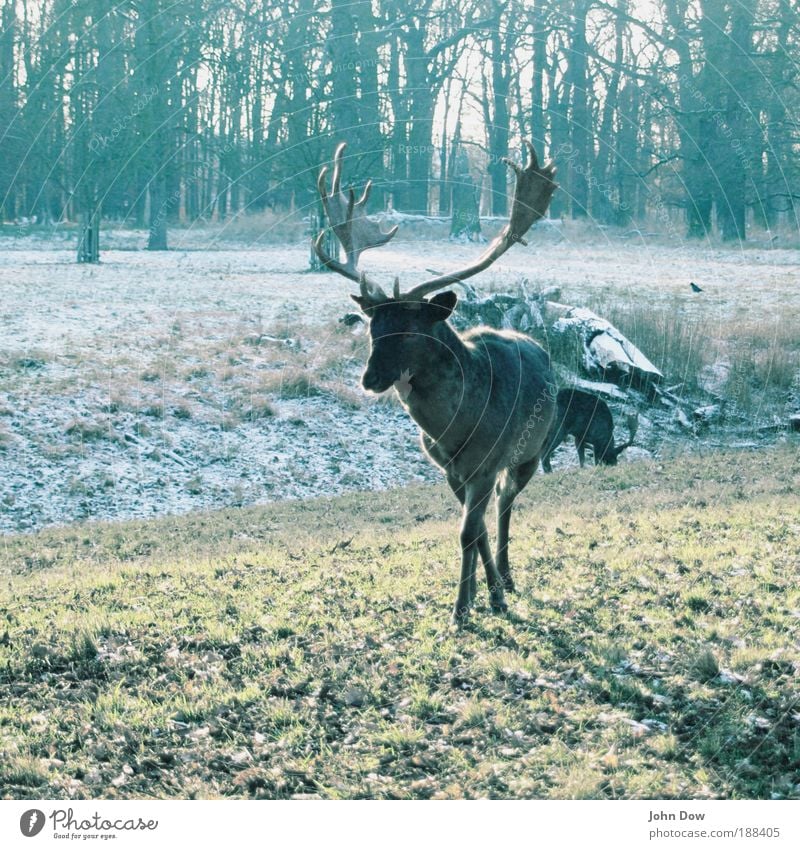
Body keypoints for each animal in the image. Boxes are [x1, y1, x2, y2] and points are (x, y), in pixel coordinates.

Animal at [310, 142, 556, 628]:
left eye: (411, 330)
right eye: (372, 328)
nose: (370, 379)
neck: (455, 427)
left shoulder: (486, 462)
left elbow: (469, 530)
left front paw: (463, 610)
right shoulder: (447, 468)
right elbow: (471, 531)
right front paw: (481, 597)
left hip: (531, 452)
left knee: (506, 505)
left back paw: (509, 578)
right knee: (491, 516)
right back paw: (496, 584)